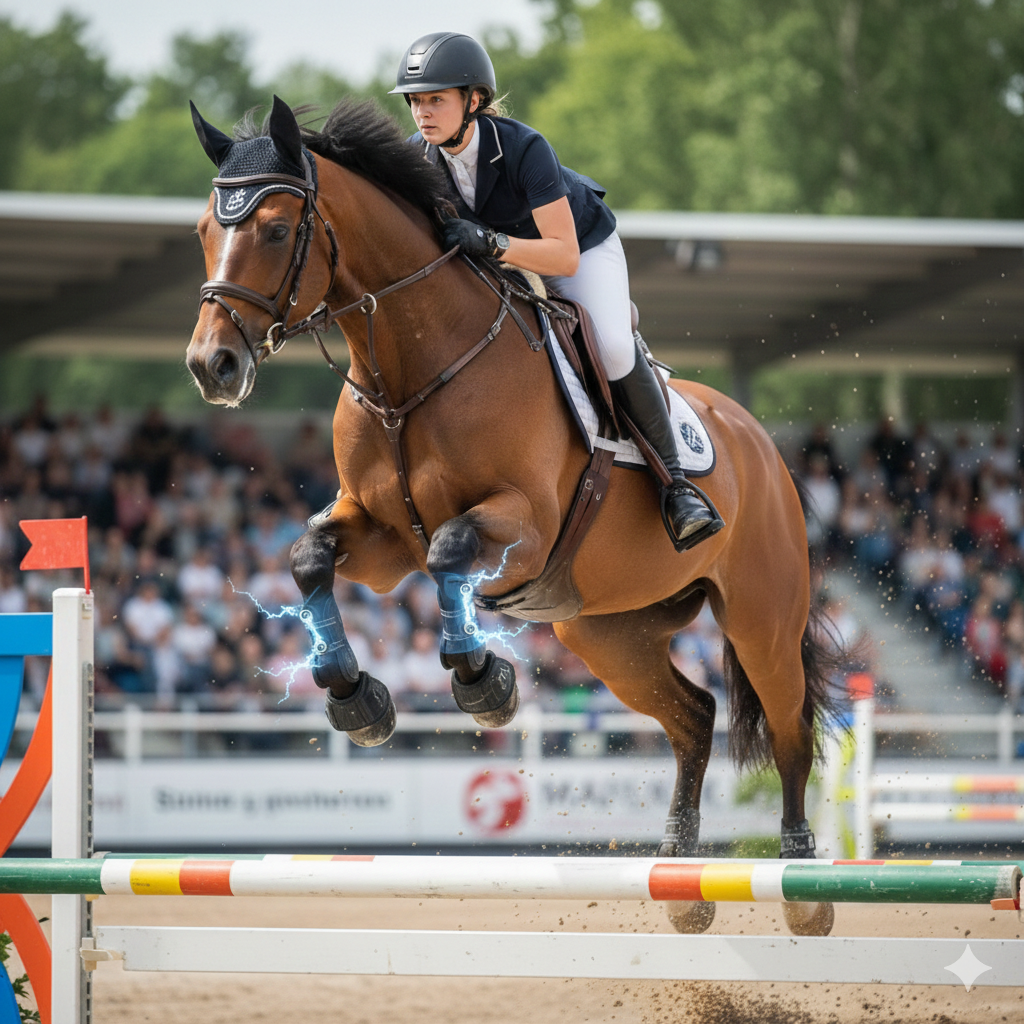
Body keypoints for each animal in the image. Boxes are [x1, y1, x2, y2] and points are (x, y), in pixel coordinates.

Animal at [186, 95, 844, 938]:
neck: (413, 365)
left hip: (761, 614)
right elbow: (310, 559)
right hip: (605, 634)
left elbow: (450, 552)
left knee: (790, 726)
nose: (212, 367)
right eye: (203, 232)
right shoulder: (380, 543)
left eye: (273, 229)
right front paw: (356, 698)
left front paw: (484, 684)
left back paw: (802, 883)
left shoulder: (521, 527)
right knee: (694, 715)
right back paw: (680, 876)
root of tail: (758, 439)